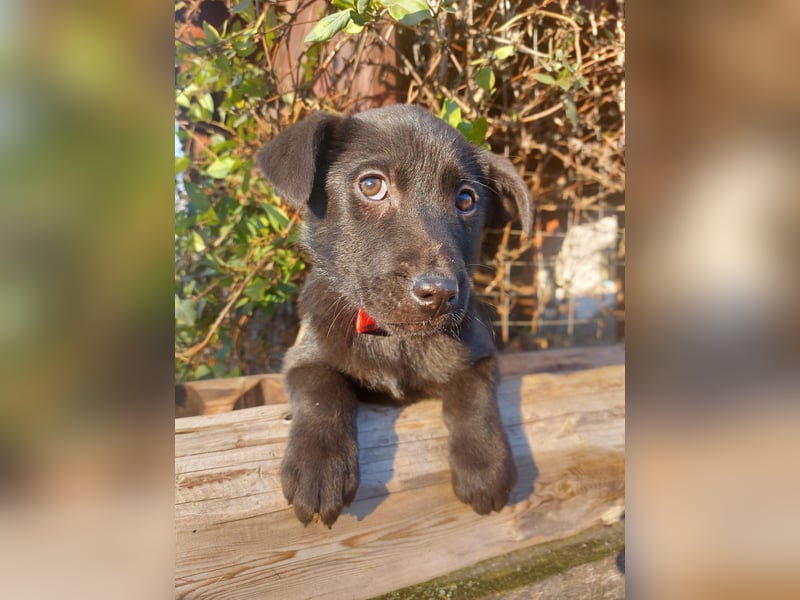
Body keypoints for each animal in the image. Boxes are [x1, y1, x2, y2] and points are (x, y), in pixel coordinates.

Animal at [258, 105, 532, 528]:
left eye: (466, 199)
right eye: (372, 185)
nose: (439, 293)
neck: (393, 341)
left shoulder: (479, 354)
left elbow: (474, 394)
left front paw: (485, 465)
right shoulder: (304, 354)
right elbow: (321, 388)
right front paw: (319, 465)